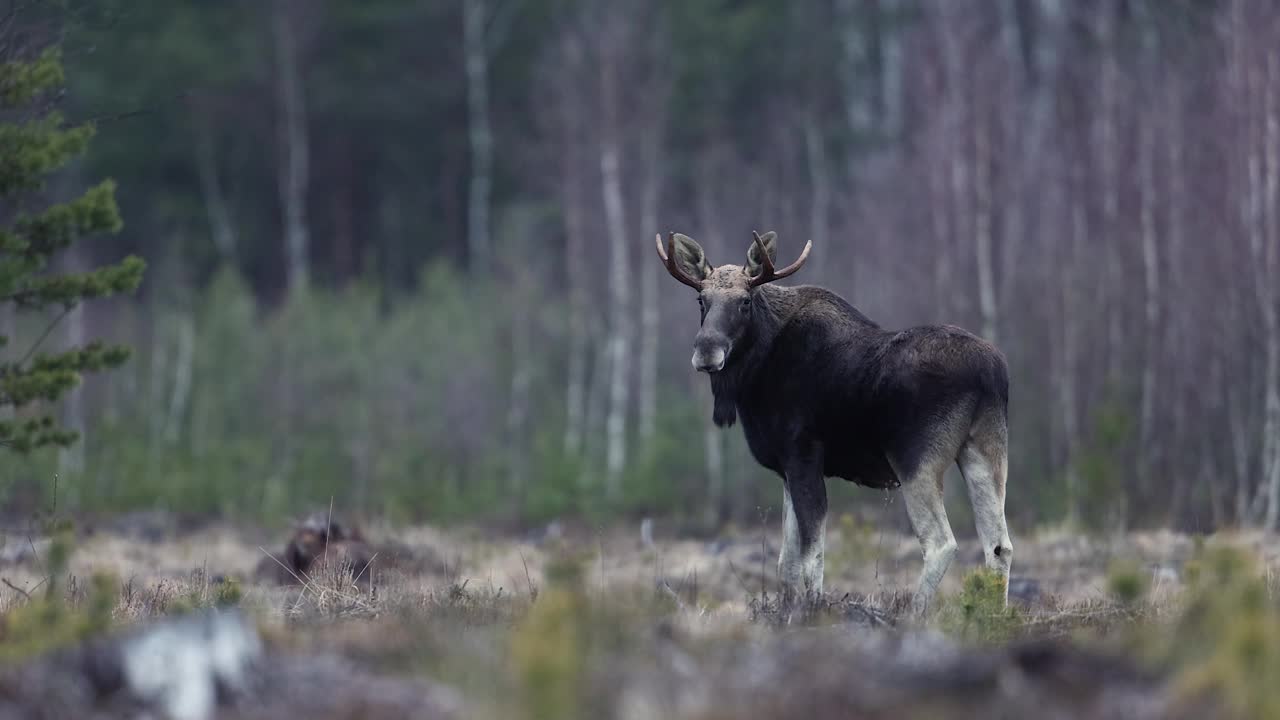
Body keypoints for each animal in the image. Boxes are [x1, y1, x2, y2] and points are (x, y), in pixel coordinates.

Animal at [660, 229, 1008, 609]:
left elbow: (811, 560)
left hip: (917, 461)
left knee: (941, 543)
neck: (754, 375)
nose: (707, 351)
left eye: (745, 301)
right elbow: (786, 563)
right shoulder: (787, 469)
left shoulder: (803, 457)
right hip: (984, 452)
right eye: (701, 300)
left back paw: (914, 613)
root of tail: (991, 373)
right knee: (998, 546)